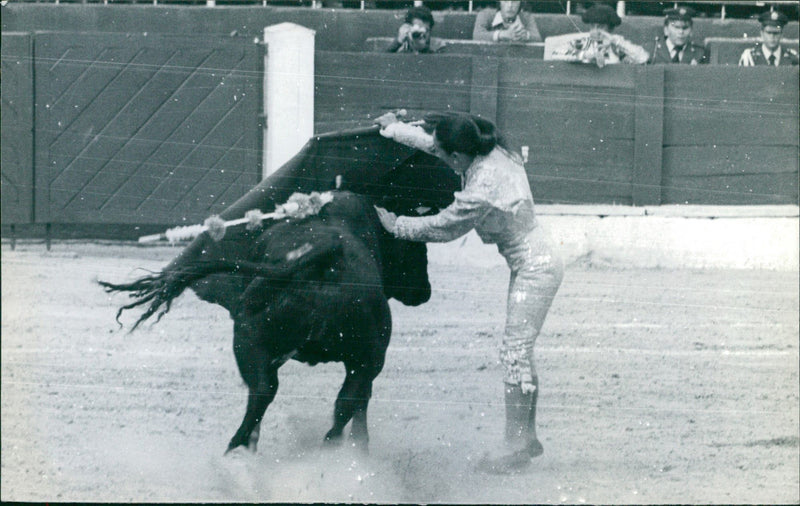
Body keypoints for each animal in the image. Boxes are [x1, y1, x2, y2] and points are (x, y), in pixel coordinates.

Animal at [101, 127, 460, 454]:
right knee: (333, 401)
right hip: (362, 355)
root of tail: (327, 254)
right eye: (416, 247)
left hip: (266, 341)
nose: (424, 291)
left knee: (270, 394)